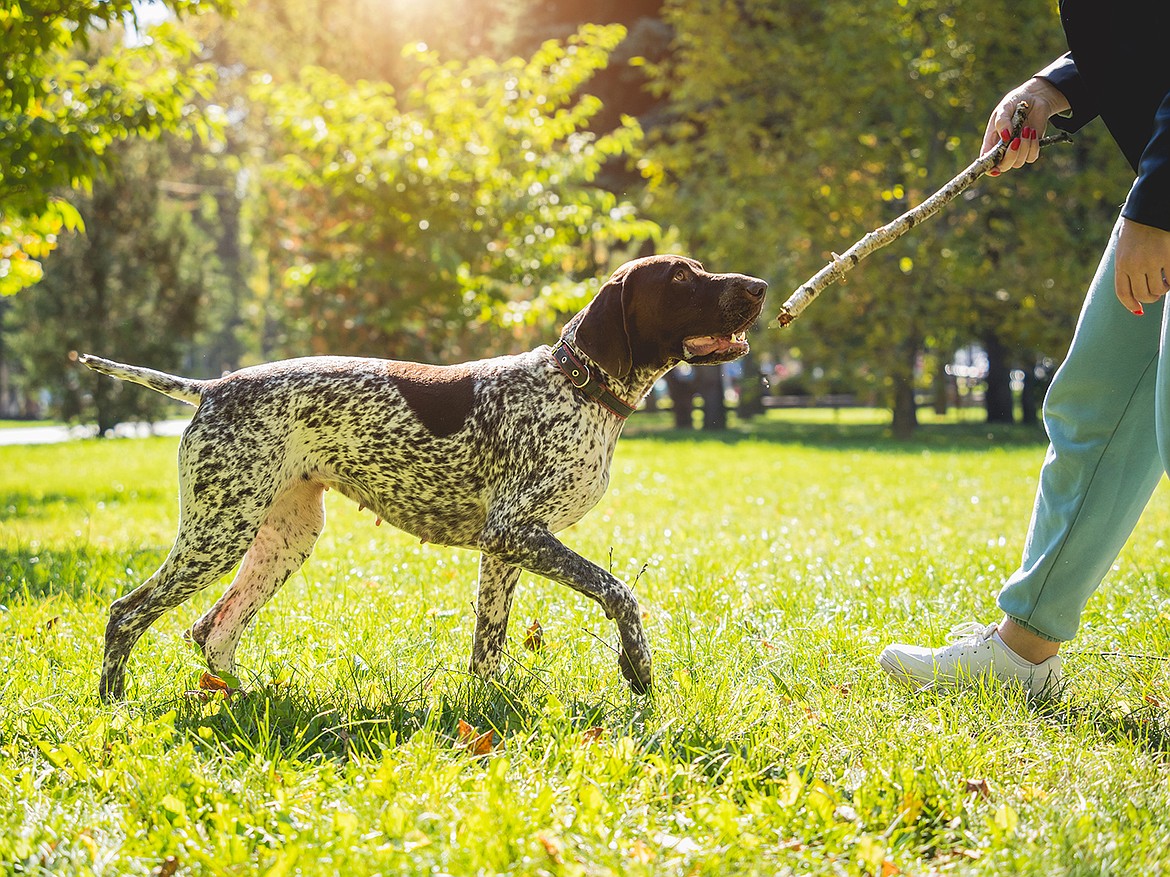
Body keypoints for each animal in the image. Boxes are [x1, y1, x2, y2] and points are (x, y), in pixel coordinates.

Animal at [77, 253, 762, 701]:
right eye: (681, 278)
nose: (759, 286)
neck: (576, 386)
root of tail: (212, 388)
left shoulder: (505, 548)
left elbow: (489, 645)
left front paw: (486, 714)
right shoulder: (516, 532)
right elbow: (620, 592)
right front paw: (638, 669)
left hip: (282, 536)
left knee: (213, 630)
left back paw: (244, 700)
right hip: (219, 533)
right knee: (127, 613)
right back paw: (115, 703)